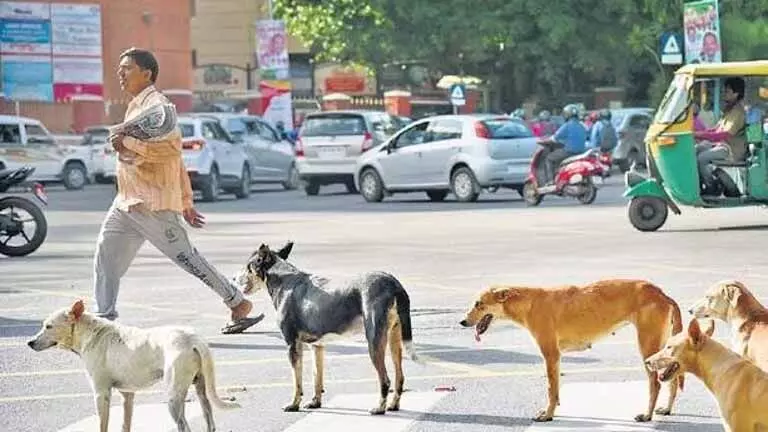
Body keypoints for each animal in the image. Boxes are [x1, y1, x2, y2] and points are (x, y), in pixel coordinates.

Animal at [27, 300, 238, 432]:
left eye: (49, 326)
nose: (29, 342)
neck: (90, 332)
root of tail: (193, 339)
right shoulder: (127, 395)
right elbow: (125, 424)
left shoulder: (101, 394)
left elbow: (102, 425)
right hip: (201, 390)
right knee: (209, 419)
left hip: (173, 398)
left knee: (184, 427)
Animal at [237, 243, 424, 416]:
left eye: (248, 267)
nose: (233, 278)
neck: (284, 280)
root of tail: (393, 283)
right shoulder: (317, 346)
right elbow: (316, 377)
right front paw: (315, 402)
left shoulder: (292, 345)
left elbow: (297, 381)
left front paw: (294, 404)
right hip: (394, 340)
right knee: (400, 377)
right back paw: (393, 405)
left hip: (374, 342)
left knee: (385, 379)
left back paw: (379, 408)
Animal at [460, 278, 680, 424]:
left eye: (478, 304)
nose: (462, 322)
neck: (530, 302)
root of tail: (661, 293)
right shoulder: (555, 358)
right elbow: (556, 390)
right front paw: (554, 410)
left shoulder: (551, 355)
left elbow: (551, 388)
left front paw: (548, 415)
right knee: (674, 379)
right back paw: (667, 409)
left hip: (648, 349)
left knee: (655, 383)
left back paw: (647, 415)